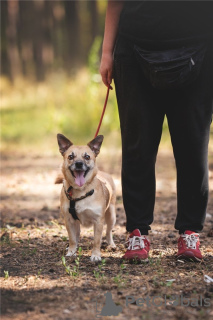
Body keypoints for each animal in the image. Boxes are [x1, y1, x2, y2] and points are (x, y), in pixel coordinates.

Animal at [55, 134, 116, 262]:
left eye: (87, 156)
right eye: (71, 156)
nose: (78, 163)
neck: (81, 190)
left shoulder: (98, 221)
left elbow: (97, 240)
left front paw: (96, 255)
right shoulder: (69, 220)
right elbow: (72, 238)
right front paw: (71, 252)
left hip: (111, 216)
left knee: (108, 232)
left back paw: (111, 245)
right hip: (76, 223)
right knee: (76, 235)